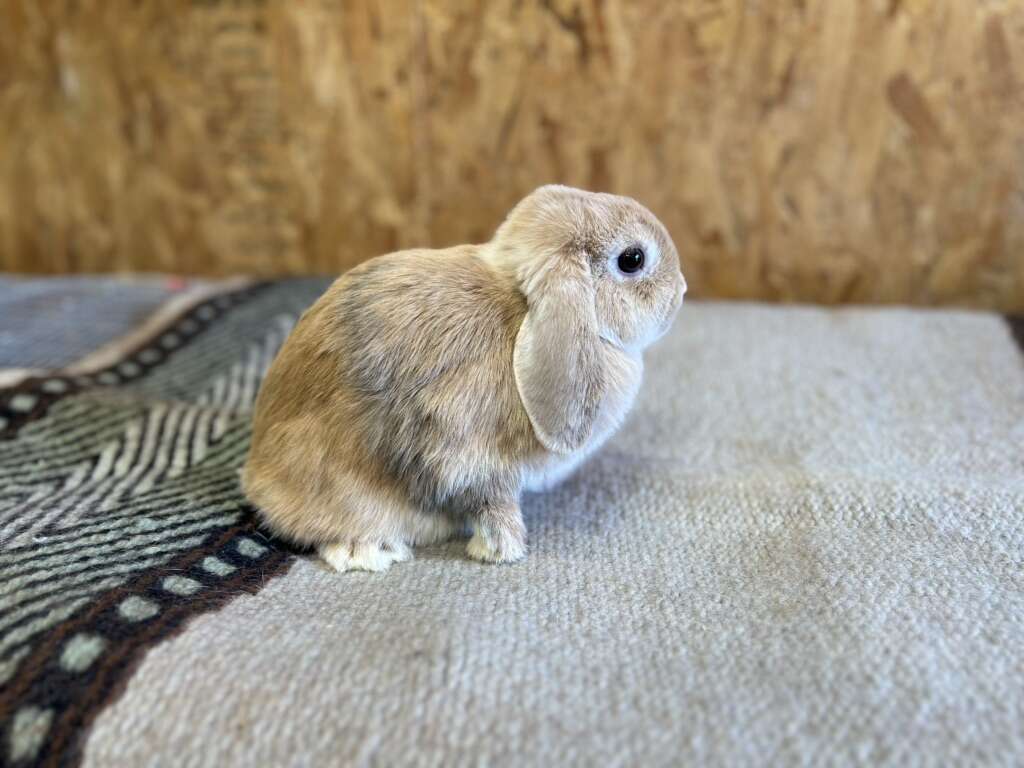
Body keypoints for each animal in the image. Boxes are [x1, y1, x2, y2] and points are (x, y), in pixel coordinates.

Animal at [241, 185, 688, 573]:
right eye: (633, 259)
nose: (682, 290)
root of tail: (258, 478)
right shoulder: (470, 454)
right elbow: (493, 505)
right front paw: (505, 552)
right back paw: (370, 552)